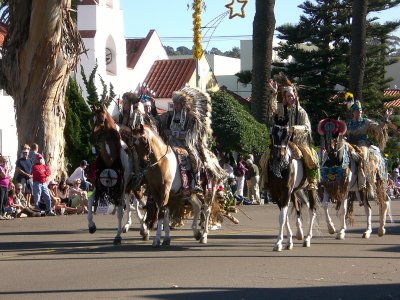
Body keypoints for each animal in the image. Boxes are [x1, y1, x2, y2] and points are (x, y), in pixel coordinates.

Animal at [268, 110, 318, 251]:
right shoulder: (275, 192)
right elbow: (284, 216)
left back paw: (307, 238)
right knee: (298, 206)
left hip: (310, 187)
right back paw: (299, 233)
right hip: (296, 191)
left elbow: (282, 216)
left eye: (287, 134)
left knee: (312, 209)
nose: (278, 156)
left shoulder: (286, 190)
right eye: (272, 133)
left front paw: (278, 242)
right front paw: (287, 241)